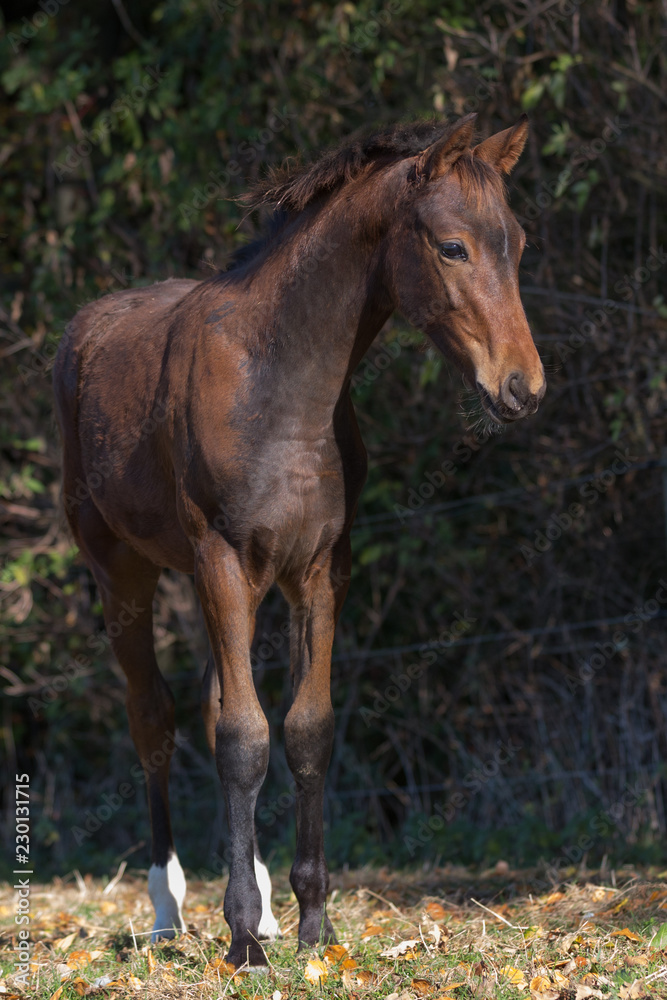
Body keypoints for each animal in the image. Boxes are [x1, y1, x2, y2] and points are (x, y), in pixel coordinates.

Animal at [54, 113, 544, 964]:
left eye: (513, 241)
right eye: (452, 247)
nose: (523, 387)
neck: (280, 386)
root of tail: (84, 330)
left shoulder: (316, 571)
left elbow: (302, 732)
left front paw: (312, 924)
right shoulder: (221, 561)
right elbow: (242, 737)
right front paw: (243, 940)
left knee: (214, 702)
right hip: (125, 574)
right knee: (155, 721)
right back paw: (169, 910)